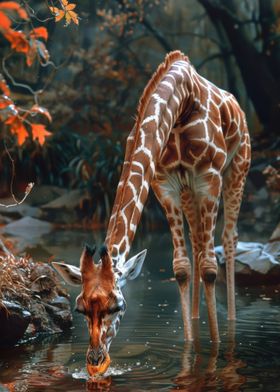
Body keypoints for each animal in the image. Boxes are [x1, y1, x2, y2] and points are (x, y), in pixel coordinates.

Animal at [51, 50, 250, 376]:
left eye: (117, 306)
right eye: (80, 308)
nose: (95, 364)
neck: (181, 104)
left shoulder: (209, 177)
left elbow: (210, 267)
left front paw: (216, 350)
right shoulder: (164, 183)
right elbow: (181, 267)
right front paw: (189, 349)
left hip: (237, 168)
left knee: (228, 239)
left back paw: (231, 323)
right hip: (189, 191)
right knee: (197, 244)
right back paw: (194, 319)